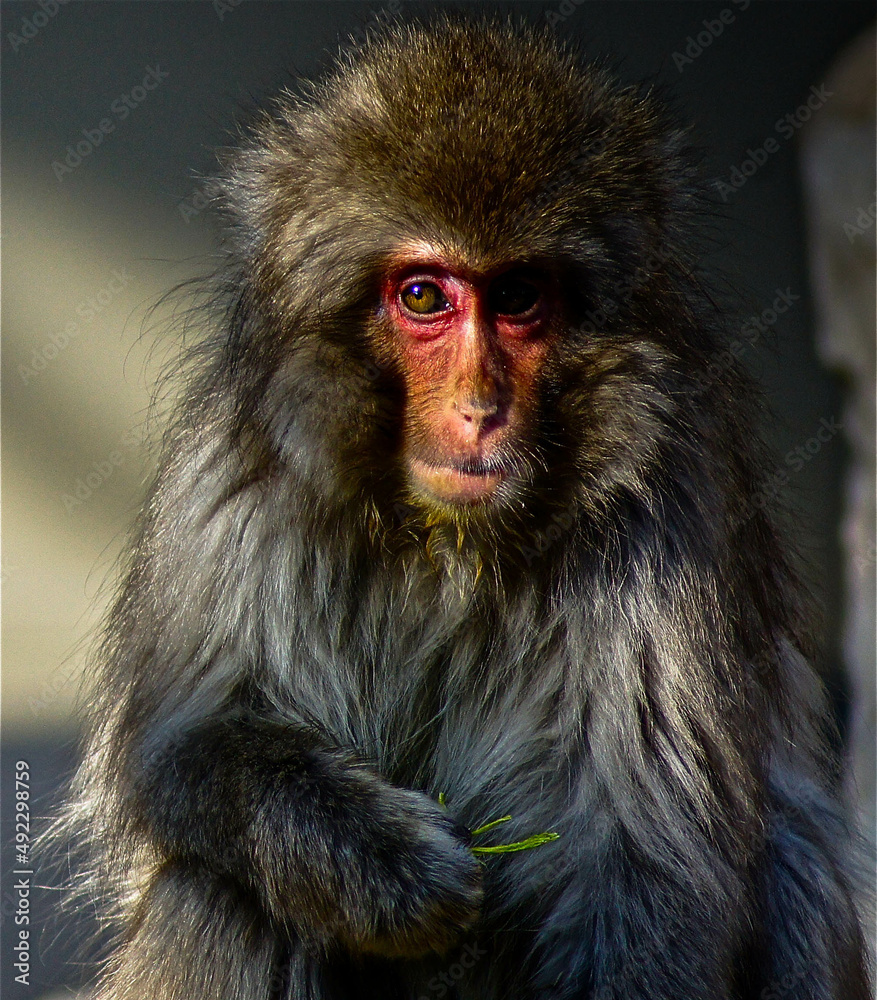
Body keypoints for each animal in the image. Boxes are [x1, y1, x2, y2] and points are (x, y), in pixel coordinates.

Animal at [54, 16, 871, 1000]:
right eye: (422, 296)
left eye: (517, 297)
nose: (481, 409)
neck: (450, 540)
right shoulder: (240, 478)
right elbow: (184, 742)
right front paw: (384, 868)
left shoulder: (673, 500)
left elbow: (645, 867)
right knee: (221, 894)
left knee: (797, 871)